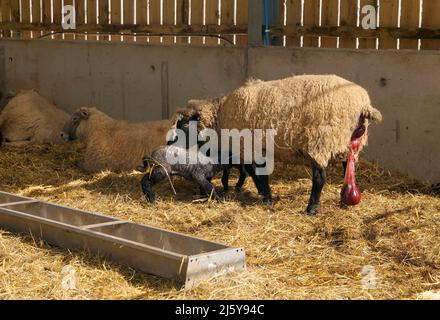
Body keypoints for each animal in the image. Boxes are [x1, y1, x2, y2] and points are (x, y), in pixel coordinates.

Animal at [171, 74, 382, 214]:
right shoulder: (252, 149)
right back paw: (343, 200)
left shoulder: (249, 147)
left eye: (184, 126)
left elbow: (257, 174)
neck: (220, 117)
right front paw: (263, 194)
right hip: (346, 141)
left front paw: (267, 197)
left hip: (321, 141)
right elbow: (253, 173)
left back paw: (311, 208)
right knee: (348, 168)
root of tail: (363, 104)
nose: (171, 146)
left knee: (320, 178)